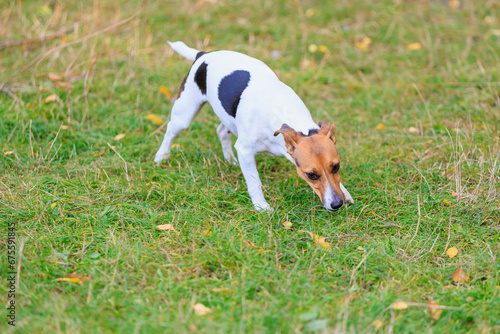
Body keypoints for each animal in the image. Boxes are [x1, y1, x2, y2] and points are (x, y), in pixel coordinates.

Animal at [154, 40, 354, 210]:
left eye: (336, 166)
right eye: (311, 174)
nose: (337, 204)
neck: (287, 115)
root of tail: (203, 55)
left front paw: (345, 192)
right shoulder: (245, 149)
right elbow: (253, 180)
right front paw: (261, 206)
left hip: (229, 119)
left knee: (221, 131)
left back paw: (230, 159)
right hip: (185, 113)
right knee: (171, 130)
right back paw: (161, 156)